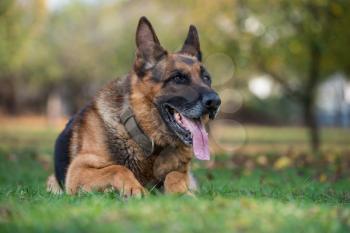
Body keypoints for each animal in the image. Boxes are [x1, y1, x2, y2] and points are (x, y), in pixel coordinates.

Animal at [46, 17, 220, 198]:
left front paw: (182, 192)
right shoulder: (78, 170)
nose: (215, 102)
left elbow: (174, 175)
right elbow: (117, 168)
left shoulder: (183, 173)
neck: (149, 140)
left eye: (207, 78)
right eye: (178, 78)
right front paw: (134, 188)